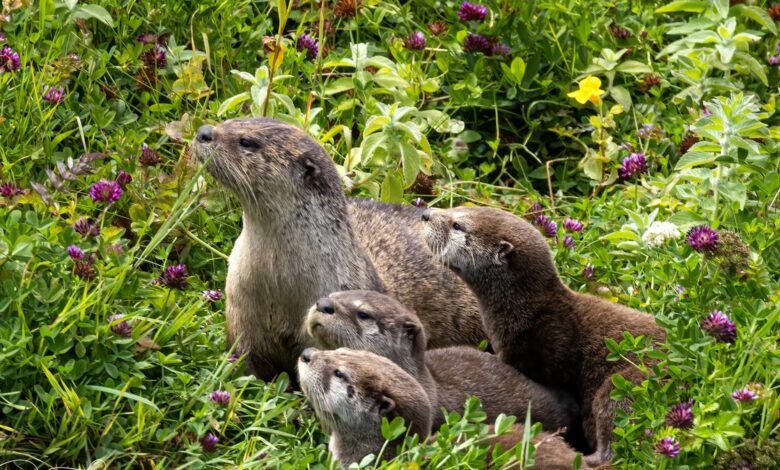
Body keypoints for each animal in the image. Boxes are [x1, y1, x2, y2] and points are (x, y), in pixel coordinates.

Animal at [421, 206, 665, 467]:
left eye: (457, 225)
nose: (426, 214)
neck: (528, 313)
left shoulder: (544, 349)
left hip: (624, 386)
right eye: (455, 208)